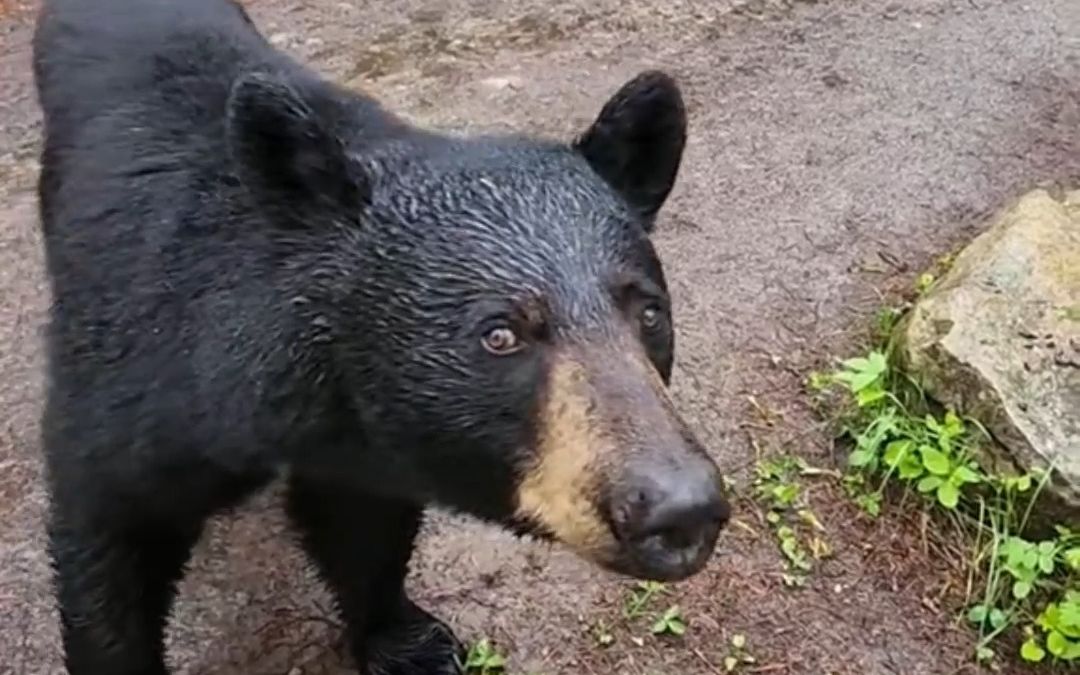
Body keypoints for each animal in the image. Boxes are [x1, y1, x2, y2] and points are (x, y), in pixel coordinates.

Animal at [29, 0, 730, 669]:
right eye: (500, 334)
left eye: (648, 313)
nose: (681, 509)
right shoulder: (136, 380)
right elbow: (109, 543)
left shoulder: (362, 443)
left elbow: (364, 530)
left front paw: (405, 639)